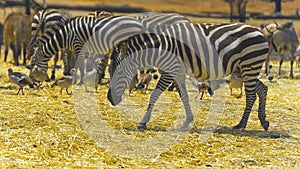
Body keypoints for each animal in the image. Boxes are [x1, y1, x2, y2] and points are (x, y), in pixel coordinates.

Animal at [107, 21, 270, 131]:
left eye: (119, 72)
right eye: (109, 71)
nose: (110, 99)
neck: (159, 48)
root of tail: (259, 31)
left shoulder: (169, 71)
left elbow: (154, 95)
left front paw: (143, 122)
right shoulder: (177, 72)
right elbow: (183, 95)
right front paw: (188, 120)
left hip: (249, 64)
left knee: (251, 95)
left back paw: (242, 124)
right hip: (241, 68)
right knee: (262, 88)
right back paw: (263, 121)